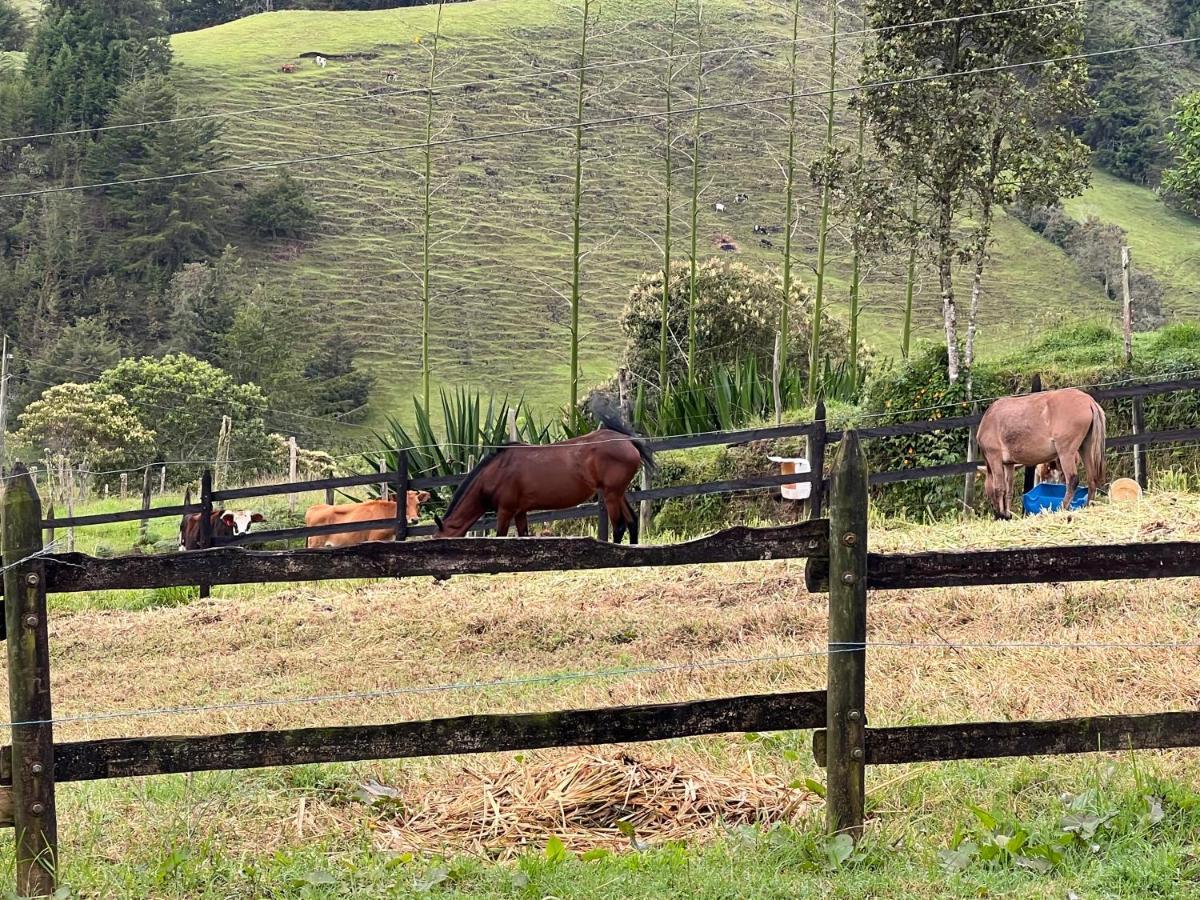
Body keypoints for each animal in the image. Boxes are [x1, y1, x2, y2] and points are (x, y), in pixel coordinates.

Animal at [304, 494, 432, 549]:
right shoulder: (373, 539)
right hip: (316, 544)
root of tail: (313, 508)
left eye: (418, 504)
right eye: (404, 504)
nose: (414, 519)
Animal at [434, 415, 657, 542]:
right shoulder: (520, 512)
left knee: (619, 526)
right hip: (618, 493)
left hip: (611, 495)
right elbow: (522, 536)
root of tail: (627, 441)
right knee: (632, 522)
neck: (496, 471)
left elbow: (501, 537)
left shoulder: (505, 511)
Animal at [974, 388, 1104, 520]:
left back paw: (1062, 508)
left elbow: (999, 488)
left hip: (1066, 453)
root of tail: (1089, 401)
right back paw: (1088, 505)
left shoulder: (994, 458)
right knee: (1092, 478)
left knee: (1072, 480)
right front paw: (1007, 514)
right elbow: (1008, 489)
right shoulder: (1009, 464)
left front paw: (1001, 515)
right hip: (1085, 448)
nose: (994, 510)